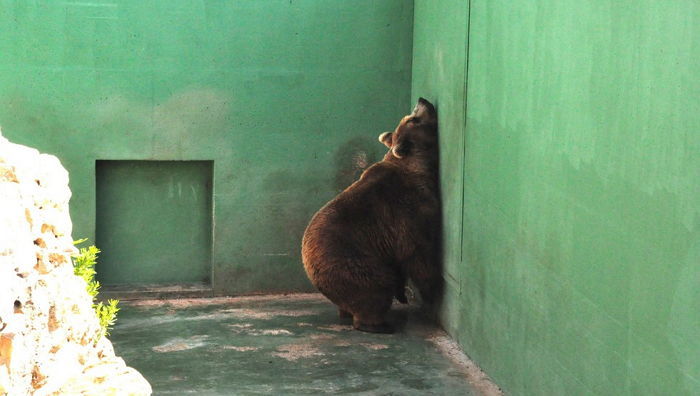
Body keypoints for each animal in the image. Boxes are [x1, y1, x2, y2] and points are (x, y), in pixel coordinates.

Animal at [300, 97, 442, 332]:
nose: (422, 100)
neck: (417, 167)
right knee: (375, 290)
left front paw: (405, 294)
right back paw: (379, 324)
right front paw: (432, 289)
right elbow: (417, 250)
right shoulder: (407, 209)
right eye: (413, 119)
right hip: (355, 264)